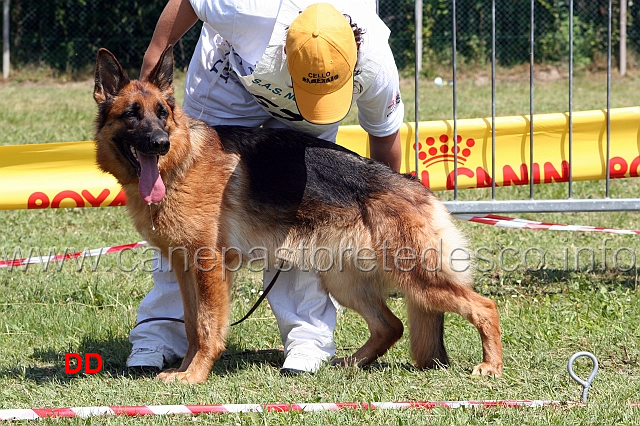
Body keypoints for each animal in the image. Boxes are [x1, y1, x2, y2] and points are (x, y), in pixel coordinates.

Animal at [92, 46, 502, 382]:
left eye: (162, 113)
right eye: (132, 116)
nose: (159, 143)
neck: (181, 162)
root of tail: (415, 186)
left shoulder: (208, 267)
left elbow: (208, 326)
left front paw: (194, 375)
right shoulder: (184, 268)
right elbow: (193, 324)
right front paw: (184, 368)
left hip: (417, 277)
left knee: (484, 306)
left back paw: (490, 365)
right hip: (345, 281)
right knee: (392, 325)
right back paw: (350, 363)